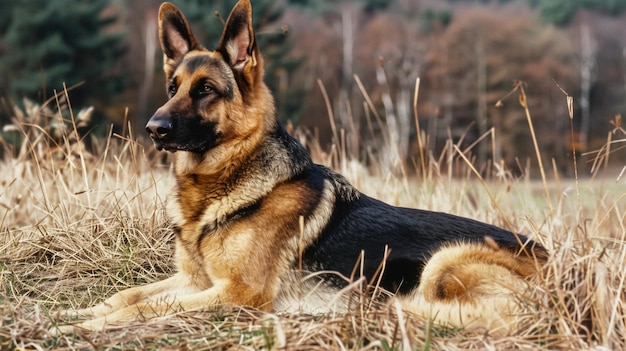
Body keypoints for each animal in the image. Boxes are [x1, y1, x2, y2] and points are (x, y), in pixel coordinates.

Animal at [61, 0, 544, 332]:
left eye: (205, 91)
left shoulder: (237, 292)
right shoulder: (195, 281)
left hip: (444, 261)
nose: (154, 128)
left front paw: (85, 327)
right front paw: (80, 312)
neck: (224, 185)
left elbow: (145, 306)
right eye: (172, 87)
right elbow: (128, 294)